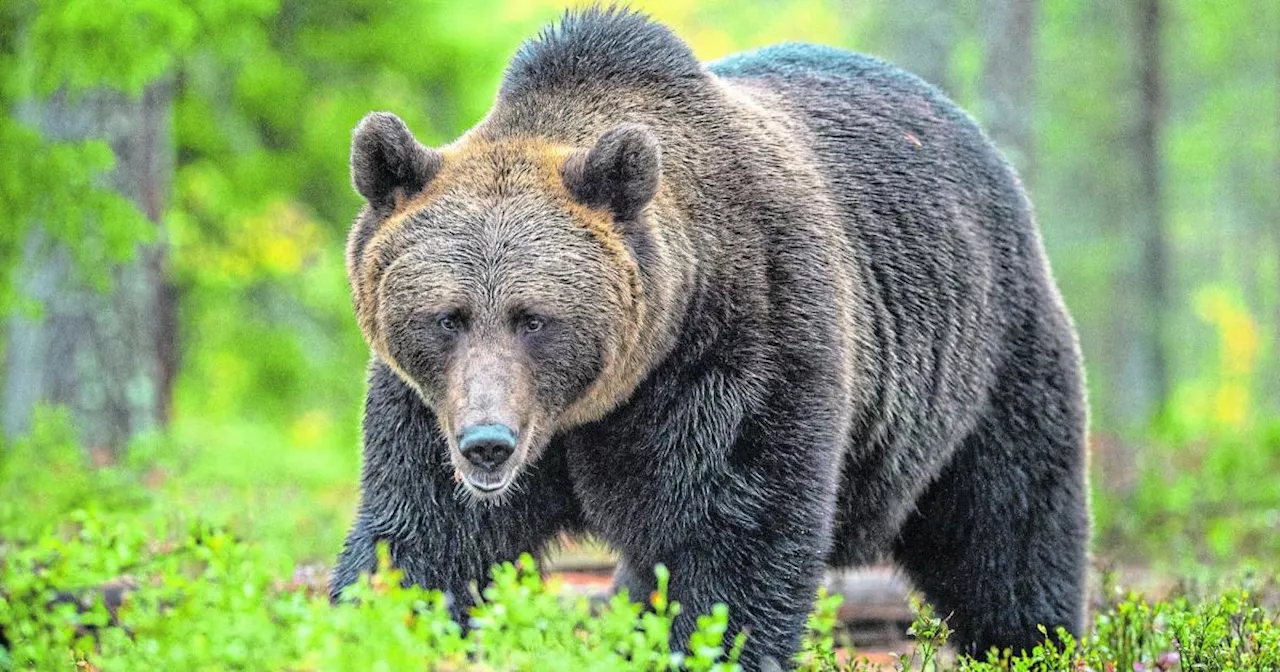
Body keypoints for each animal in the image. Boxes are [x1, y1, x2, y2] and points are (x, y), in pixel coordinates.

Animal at [332, 5, 1090, 665]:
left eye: (534, 317)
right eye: (447, 316)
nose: (487, 443)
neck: (592, 405)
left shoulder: (743, 346)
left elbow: (733, 538)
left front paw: (710, 646)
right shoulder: (426, 404)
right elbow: (422, 535)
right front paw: (376, 625)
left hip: (985, 359)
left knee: (1007, 525)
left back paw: (1032, 640)